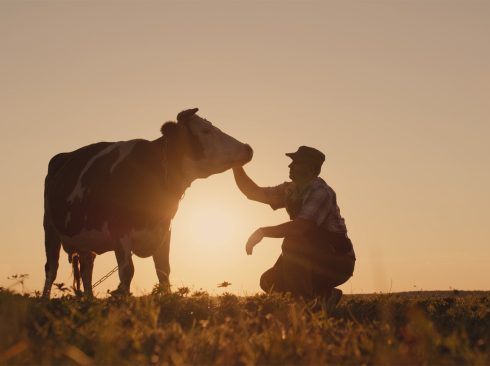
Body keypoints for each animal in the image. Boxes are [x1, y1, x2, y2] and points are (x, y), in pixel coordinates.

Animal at [42, 108, 253, 298]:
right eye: (205, 131)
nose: (248, 148)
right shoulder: (120, 232)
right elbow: (127, 273)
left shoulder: (165, 230)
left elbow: (164, 272)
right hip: (50, 229)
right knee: (51, 268)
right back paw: (45, 300)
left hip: (86, 241)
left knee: (86, 269)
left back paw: (89, 301)